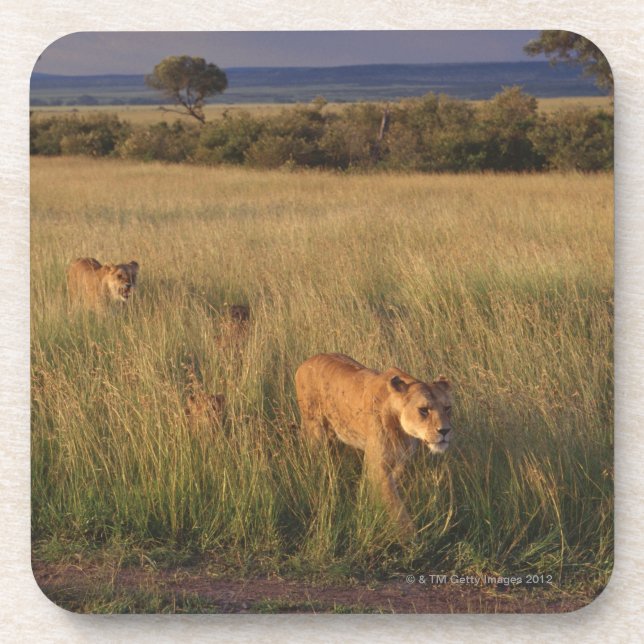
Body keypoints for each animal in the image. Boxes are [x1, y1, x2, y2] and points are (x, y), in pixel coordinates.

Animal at [295, 353, 453, 535]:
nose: (445, 431)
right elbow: (395, 506)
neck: (403, 431)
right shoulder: (377, 466)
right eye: (424, 410)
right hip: (314, 429)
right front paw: (411, 538)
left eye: (447, 408)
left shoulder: (400, 460)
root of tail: (306, 362)